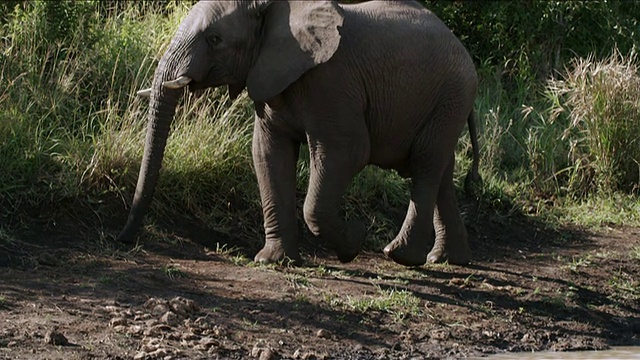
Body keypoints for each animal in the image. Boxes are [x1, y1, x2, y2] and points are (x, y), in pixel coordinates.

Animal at [119, 0, 480, 268]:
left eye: (214, 40)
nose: (124, 239)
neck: (275, 8)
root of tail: (463, 48)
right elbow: (268, 152)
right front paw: (273, 261)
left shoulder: (332, 83)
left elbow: (348, 152)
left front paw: (354, 240)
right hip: (447, 101)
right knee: (440, 170)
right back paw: (447, 259)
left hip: (451, 94)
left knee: (425, 164)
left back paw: (401, 256)